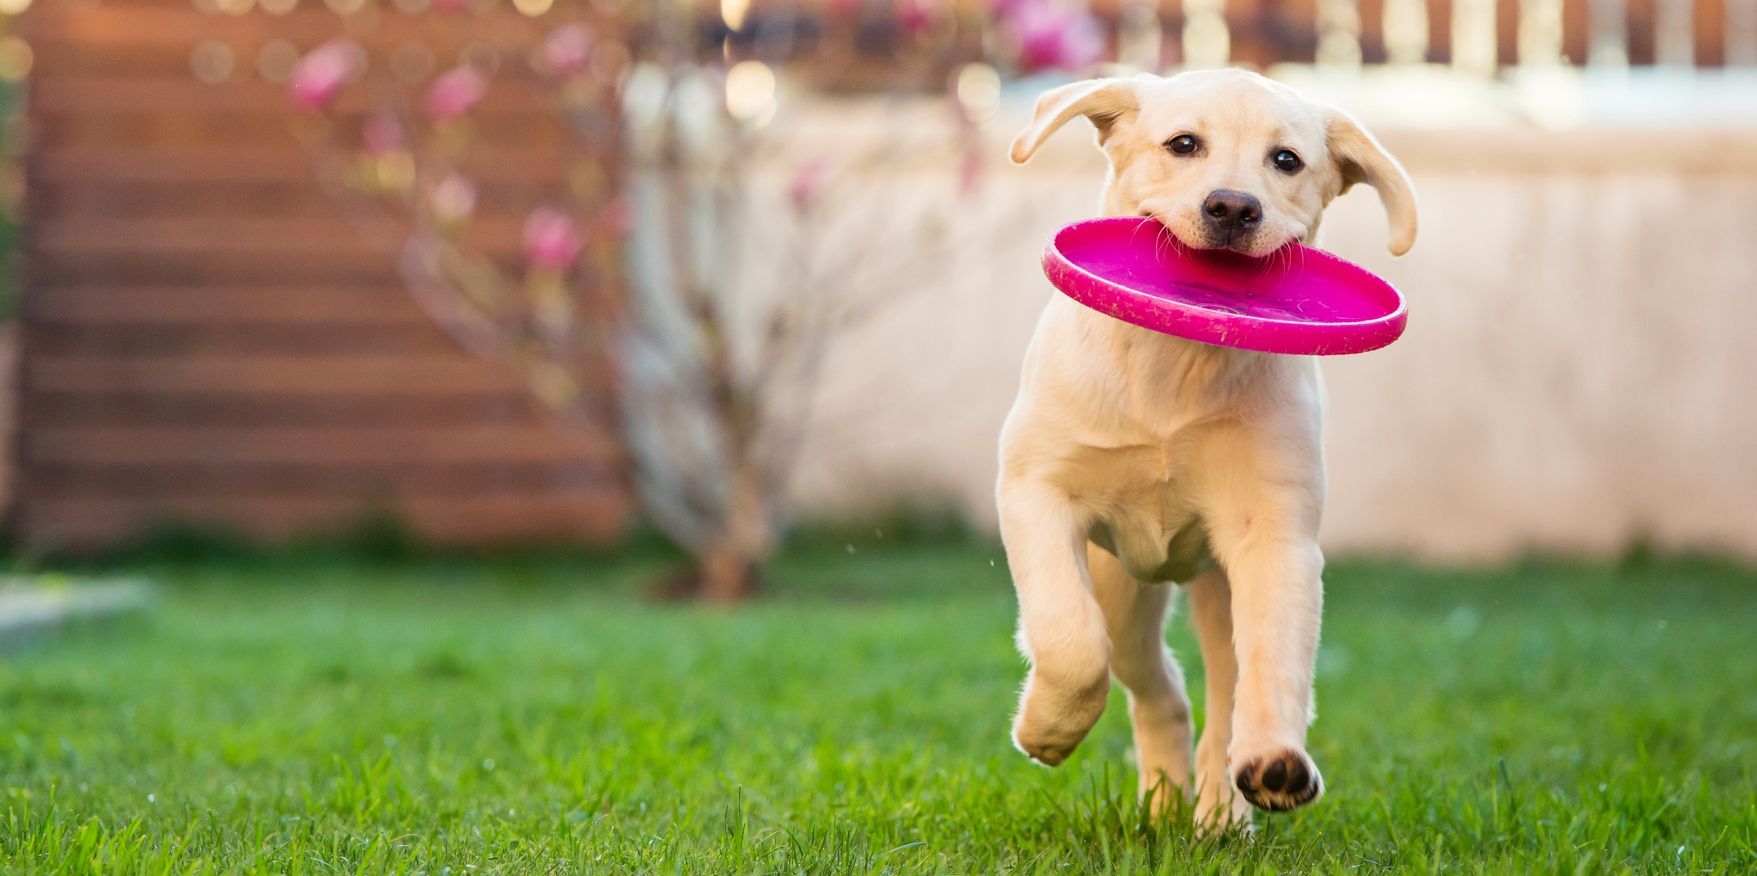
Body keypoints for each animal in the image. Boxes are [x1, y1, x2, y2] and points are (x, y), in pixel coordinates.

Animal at [1005, 68, 1412, 828]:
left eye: (1285, 160)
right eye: (1183, 145)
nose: (1231, 206)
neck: (1177, 362)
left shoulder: (1273, 535)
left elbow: (1275, 661)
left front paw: (1275, 764)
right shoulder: (1034, 490)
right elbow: (1069, 639)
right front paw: (1047, 729)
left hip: (1219, 588)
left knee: (1222, 693)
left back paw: (1221, 807)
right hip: (1120, 587)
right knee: (1152, 680)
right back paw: (1164, 800)